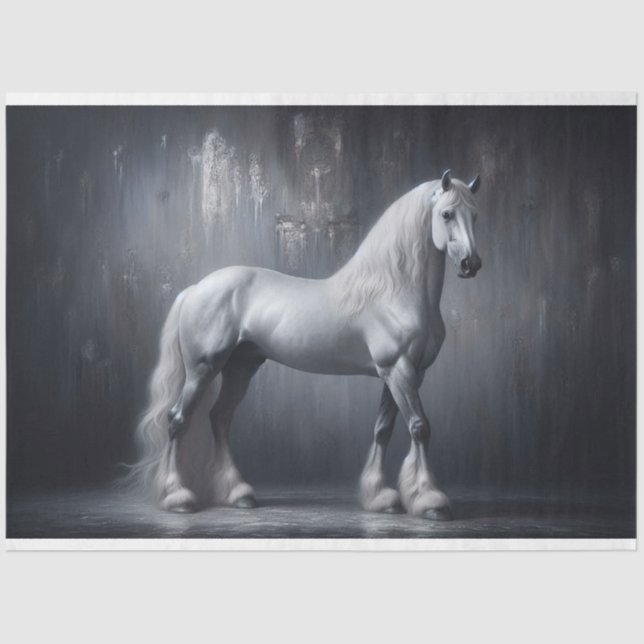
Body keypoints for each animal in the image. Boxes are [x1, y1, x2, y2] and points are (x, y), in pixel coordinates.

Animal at [132, 170, 482, 520]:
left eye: (475, 215)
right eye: (447, 214)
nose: (471, 264)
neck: (392, 291)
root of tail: (195, 288)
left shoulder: (406, 374)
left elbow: (383, 429)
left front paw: (382, 497)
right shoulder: (398, 370)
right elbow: (420, 427)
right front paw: (431, 501)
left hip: (240, 368)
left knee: (219, 418)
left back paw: (238, 494)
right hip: (203, 369)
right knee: (178, 419)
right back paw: (178, 497)